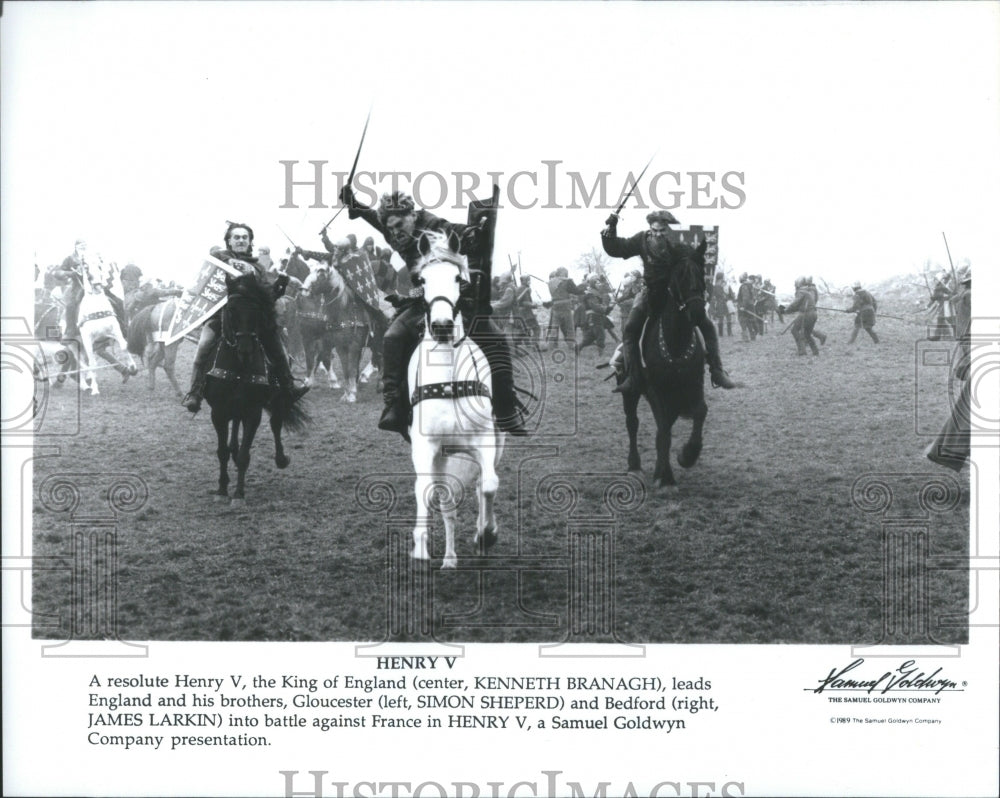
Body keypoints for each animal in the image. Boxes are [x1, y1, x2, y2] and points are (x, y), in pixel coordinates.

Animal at [204, 276, 308, 500]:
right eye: (231, 310)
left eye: (257, 312)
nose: (245, 349)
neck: (239, 366)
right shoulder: (218, 412)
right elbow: (222, 451)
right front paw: (222, 489)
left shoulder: (253, 411)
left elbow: (246, 454)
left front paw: (238, 494)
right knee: (236, 428)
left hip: (276, 398)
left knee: (276, 422)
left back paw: (280, 459)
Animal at [408, 231, 504, 568]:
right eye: (422, 280)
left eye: (458, 279)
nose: (441, 327)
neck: (449, 381)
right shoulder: (426, 447)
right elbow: (424, 490)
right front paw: (420, 547)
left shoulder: (485, 442)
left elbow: (488, 485)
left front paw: (485, 535)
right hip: (444, 458)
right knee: (446, 502)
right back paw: (449, 559)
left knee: (479, 487)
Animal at [620, 238, 708, 488]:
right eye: (679, 275)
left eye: (702, 272)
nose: (698, 311)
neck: (675, 342)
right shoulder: (655, 391)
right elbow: (663, 432)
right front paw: (665, 476)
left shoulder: (694, 385)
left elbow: (700, 411)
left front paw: (687, 455)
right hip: (630, 392)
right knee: (633, 423)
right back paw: (634, 465)